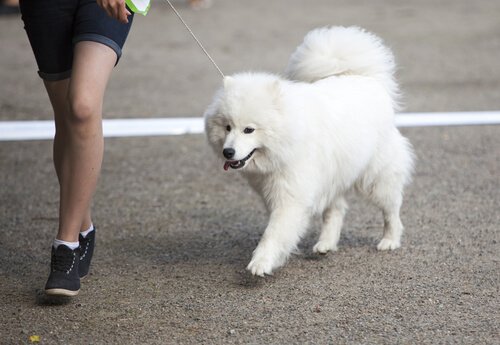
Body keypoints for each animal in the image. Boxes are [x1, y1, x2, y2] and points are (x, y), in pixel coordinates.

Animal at [203, 26, 414, 276]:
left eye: (249, 130)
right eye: (227, 127)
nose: (228, 152)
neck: (288, 136)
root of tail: (366, 78)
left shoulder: (291, 196)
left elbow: (274, 232)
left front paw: (261, 262)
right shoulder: (275, 191)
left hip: (376, 177)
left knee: (391, 209)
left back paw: (389, 240)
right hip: (334, 175)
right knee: (337, 210)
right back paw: (326, 244)